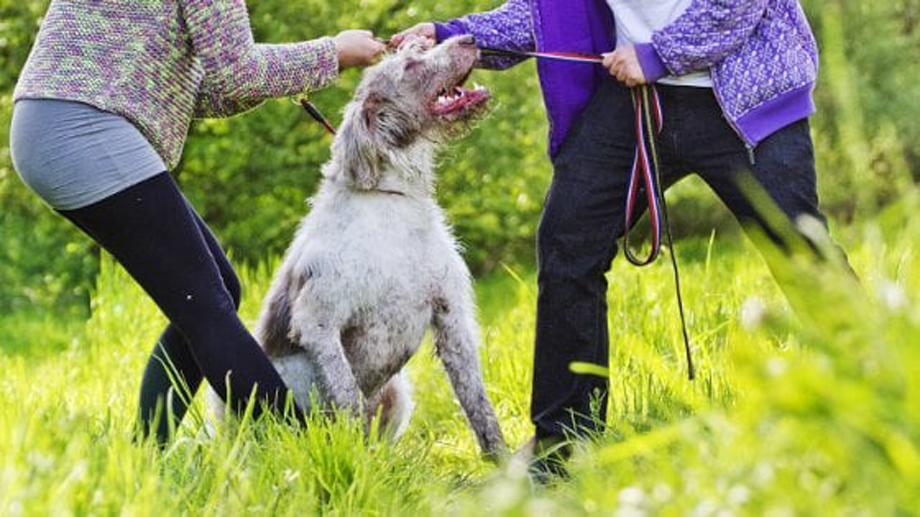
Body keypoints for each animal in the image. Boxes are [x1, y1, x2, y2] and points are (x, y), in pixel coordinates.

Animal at [252, 35, 504, 456]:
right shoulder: (318, 320)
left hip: (398, 392)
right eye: (410, 66)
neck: (394, 200)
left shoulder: (452, 316)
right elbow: (348, 398)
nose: (468, 38)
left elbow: (479, 404)